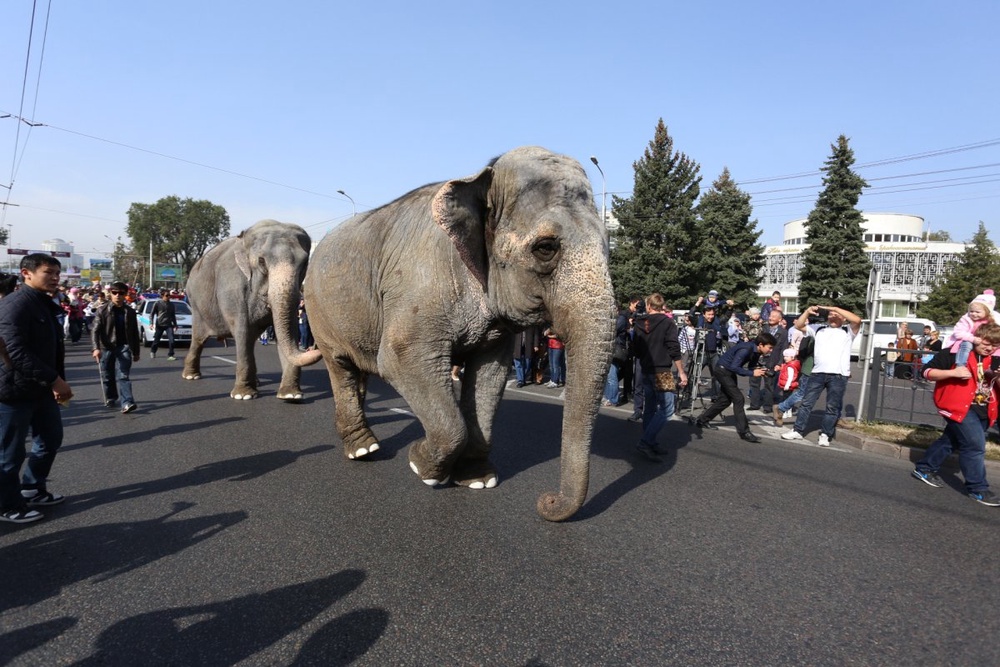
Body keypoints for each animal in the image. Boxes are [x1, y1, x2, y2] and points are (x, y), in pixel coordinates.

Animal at [180, 219, 320, 400]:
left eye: (304, 263)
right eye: (261, 261)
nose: (315, 348)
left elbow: (290, 330)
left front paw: (291, 395)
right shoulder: (233, 289)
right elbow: (242, 330)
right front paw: (243, 396)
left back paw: (257, 382)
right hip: (196, 305)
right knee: (198, 339)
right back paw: (191, 376)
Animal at [296, 146, 612, 520]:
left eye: (609, 247)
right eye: (546, 248)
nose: (546, 502)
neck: (479, 178)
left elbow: (490, 374)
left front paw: (478, 481)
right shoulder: (419, 286)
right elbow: (399, 358)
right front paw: (420, 466)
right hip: (320, 312)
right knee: (340, 367)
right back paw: (363, 449)